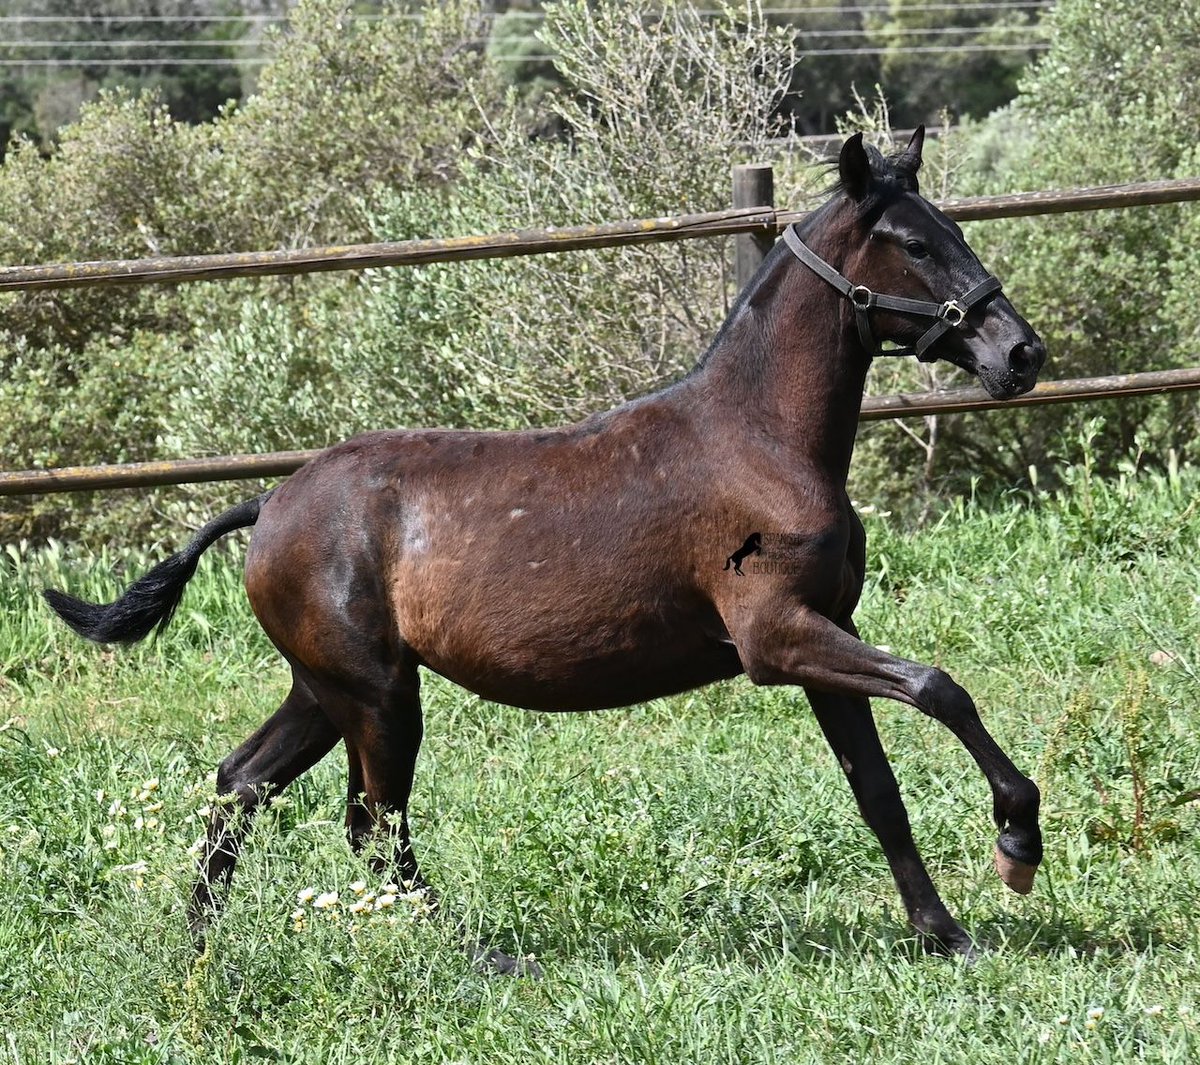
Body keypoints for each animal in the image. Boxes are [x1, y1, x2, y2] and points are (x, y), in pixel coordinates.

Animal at [45, 129, 1047, 970]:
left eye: (953, 228)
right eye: (914, 243)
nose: (1020, 353)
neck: (760, 439)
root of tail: (270, 505)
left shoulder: (823, 636)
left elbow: (878, 790)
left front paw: (946, 932)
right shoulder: (778, 638)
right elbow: (939, 686)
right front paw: (1017, 843)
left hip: (329, 690)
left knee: (244, 783)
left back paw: (201, 943)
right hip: (377, 697)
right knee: (374, 826)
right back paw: (476, 953)